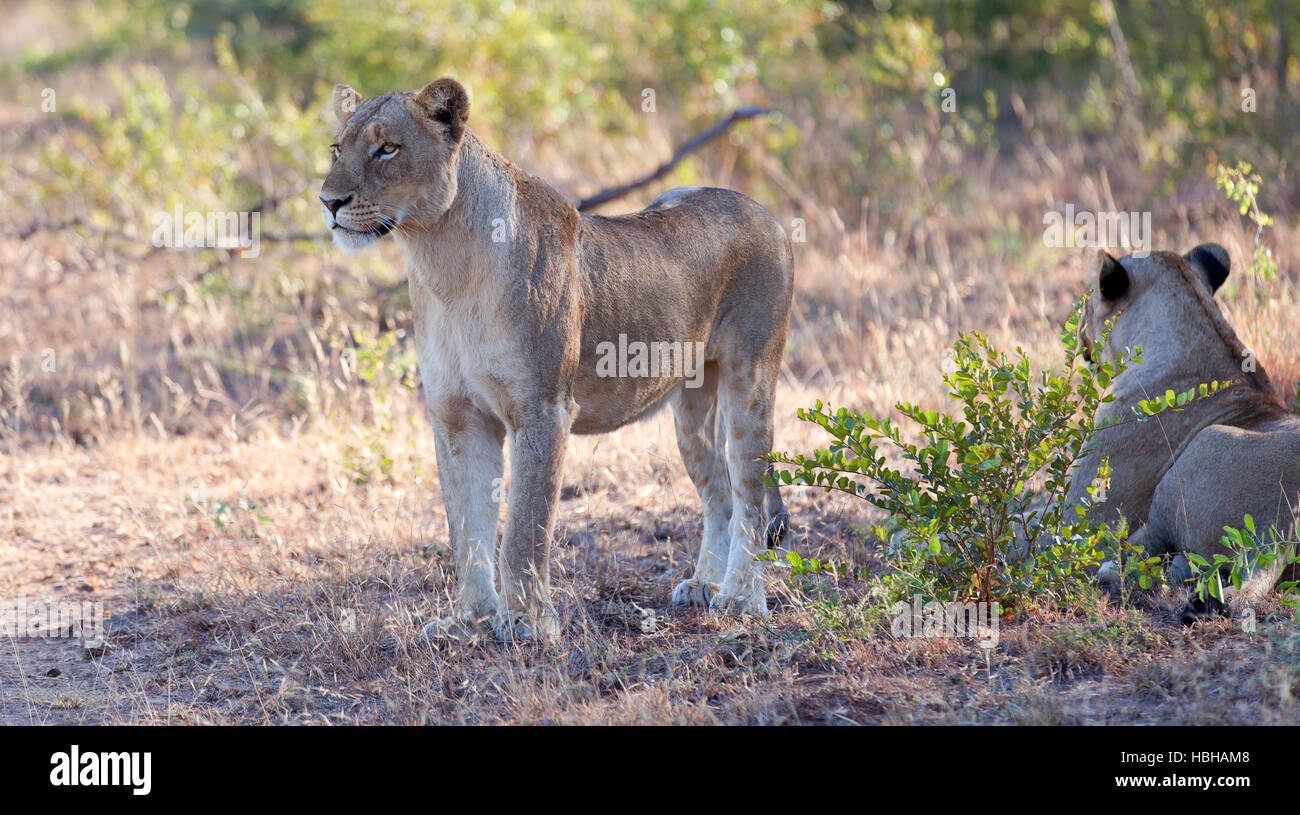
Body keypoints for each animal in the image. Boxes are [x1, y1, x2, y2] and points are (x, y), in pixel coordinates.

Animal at [318, 78, 793, 642]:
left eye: (387, 148)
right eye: (337, 149)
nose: (328, 201)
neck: (442, 260)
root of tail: (764, 211)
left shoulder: (542, 408)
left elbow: (526, 524)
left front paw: (527, 620)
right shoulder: (457, 416)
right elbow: (468, 528)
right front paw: (471, 620)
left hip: (751, 378)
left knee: (749, 494)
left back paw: (740, 598)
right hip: (691, 411)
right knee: (718, 487)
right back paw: (703, 584)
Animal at [1073, 244, 1300, 621]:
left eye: (1089, 301)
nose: (1079, 330)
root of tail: (1283, 528)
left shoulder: (1081, 515)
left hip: (1200, 448)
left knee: (1139, 550)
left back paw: (1113, 572)